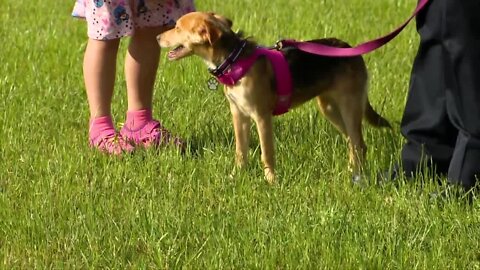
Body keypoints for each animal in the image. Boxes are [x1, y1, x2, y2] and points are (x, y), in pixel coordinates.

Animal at [158, 10, 390, 184]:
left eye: (177, 28)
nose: (158, 37)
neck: (233, 59)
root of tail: (351, 49)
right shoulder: (239, 115)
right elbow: (240, 151)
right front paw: (236, 176)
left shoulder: (262, 116)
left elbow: (266, 152)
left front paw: (272, 182)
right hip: (330, 108)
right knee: (352, 142)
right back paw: (351, 170)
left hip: (350, 106)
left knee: (359, 143)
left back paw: (357, 175)